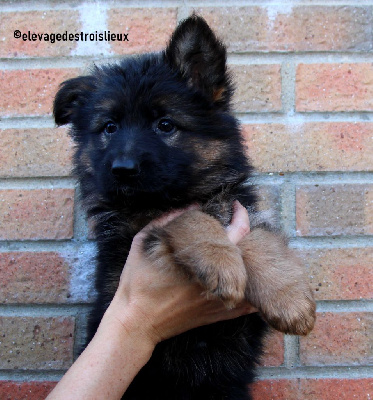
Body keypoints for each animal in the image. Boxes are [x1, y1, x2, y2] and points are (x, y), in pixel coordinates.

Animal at [53, 14, 314, 398]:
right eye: (110, 127)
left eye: (165, 125)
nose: (122, 169)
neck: (185, 192)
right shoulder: (138, 227)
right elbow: (187, 218)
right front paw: (221, 262)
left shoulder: (239, 208)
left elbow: (261, 240)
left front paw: (289, 299)